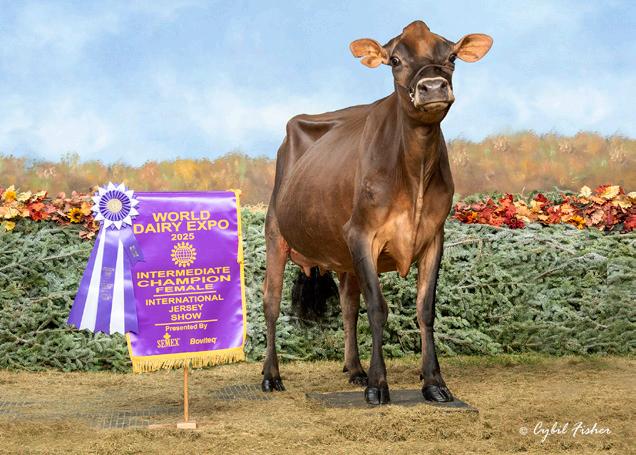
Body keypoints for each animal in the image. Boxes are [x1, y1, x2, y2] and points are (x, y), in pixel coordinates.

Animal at [261, 20, 493, 405]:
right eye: (395, 59)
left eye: (452, 57)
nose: (433, 86)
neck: (414, 175)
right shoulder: (361, 234)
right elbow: (377, 307)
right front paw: (378, 384)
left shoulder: (434, 236)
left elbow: (424, 308)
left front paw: (434, 382)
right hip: (275, 235)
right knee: (271, 303)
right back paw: (270, 376)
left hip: (342, 255)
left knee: (347, 305)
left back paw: (354, 369)